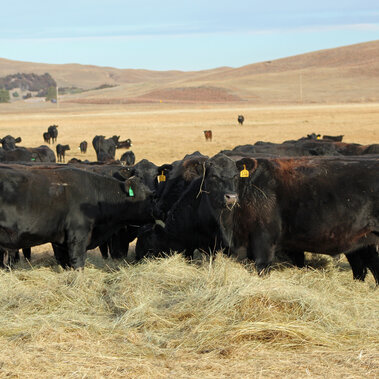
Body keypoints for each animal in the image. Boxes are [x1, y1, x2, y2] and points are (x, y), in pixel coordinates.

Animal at [0, 165, 154, 268]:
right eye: (147, 196)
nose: (157, 210)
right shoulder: (78, 235)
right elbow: (77, 262)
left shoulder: (61, 241)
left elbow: (65, 262)